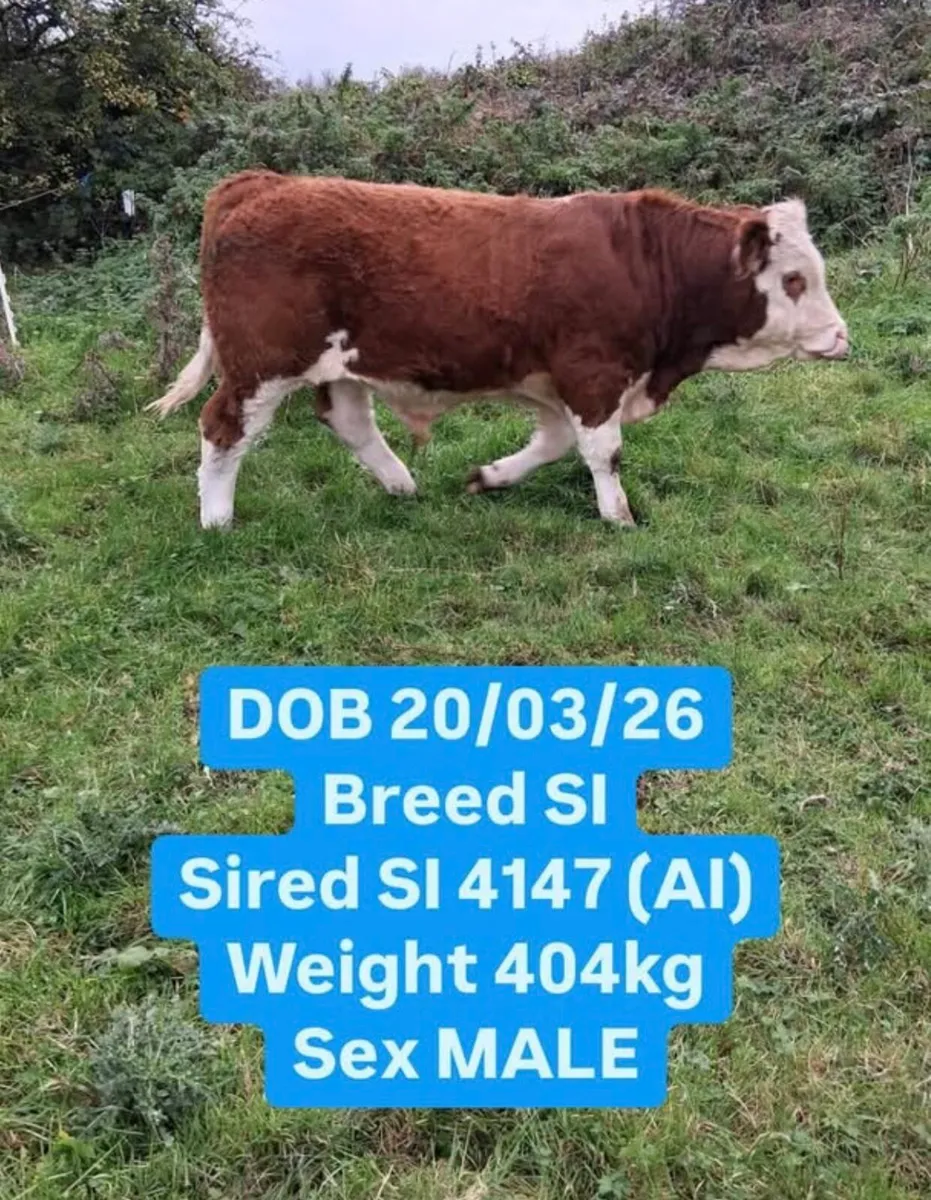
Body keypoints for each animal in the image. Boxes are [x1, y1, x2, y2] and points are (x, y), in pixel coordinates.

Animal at [147, 169, 849, 530]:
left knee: (347, 419)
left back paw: (402, 485)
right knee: (223, 427)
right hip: (261, 363)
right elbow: (603, 451)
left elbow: (556, 443)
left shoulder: (556, 383)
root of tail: (260, 182)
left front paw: (489, 477)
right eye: (794, 279)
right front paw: (618, 516)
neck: (645, 261)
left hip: (340, 359)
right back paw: (216, 520)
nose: (842, 336)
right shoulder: (593, 374)